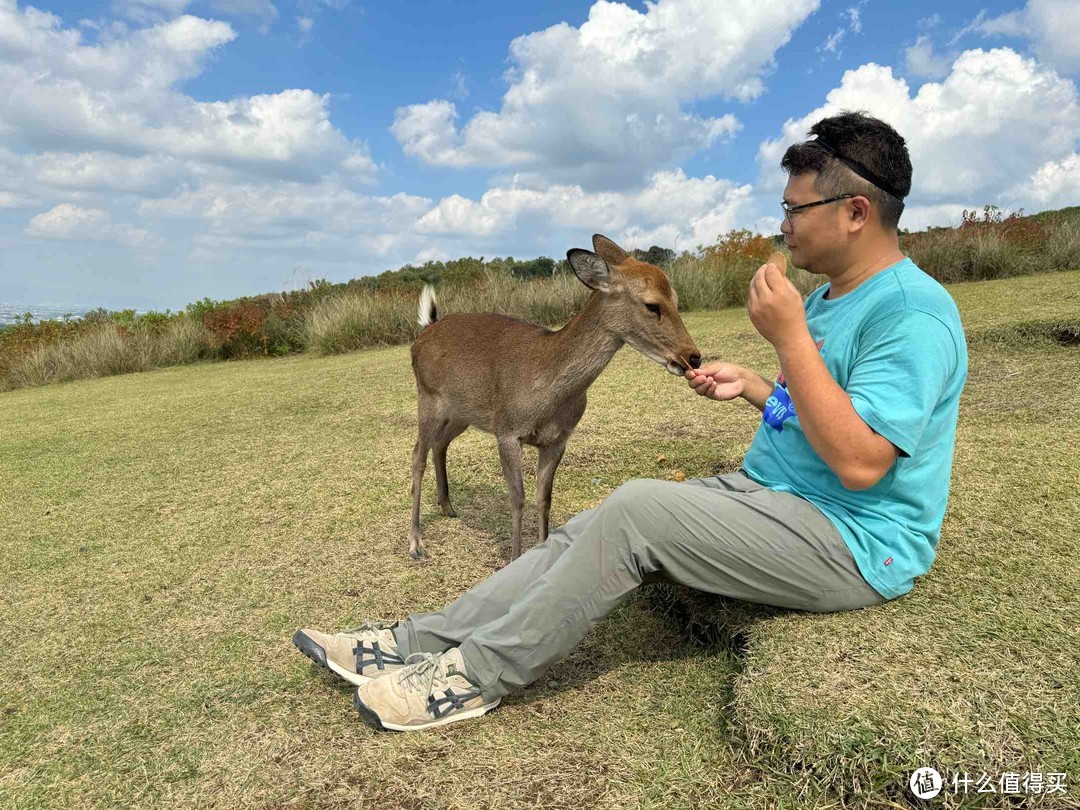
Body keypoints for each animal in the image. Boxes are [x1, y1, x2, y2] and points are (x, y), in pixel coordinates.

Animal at [408, 234, 704, 565]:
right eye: (652, 305)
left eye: (676, 300)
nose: (693, 357)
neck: (547, 393)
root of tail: (423, 333)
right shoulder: (507, 431)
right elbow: (518, 499)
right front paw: (514, 559)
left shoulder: (557, 439)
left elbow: (544, 498)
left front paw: (541, 552)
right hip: (428, 398)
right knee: (418, 454)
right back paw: (416, 543)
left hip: (461, 413)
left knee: (439, 445)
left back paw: (448, 507)